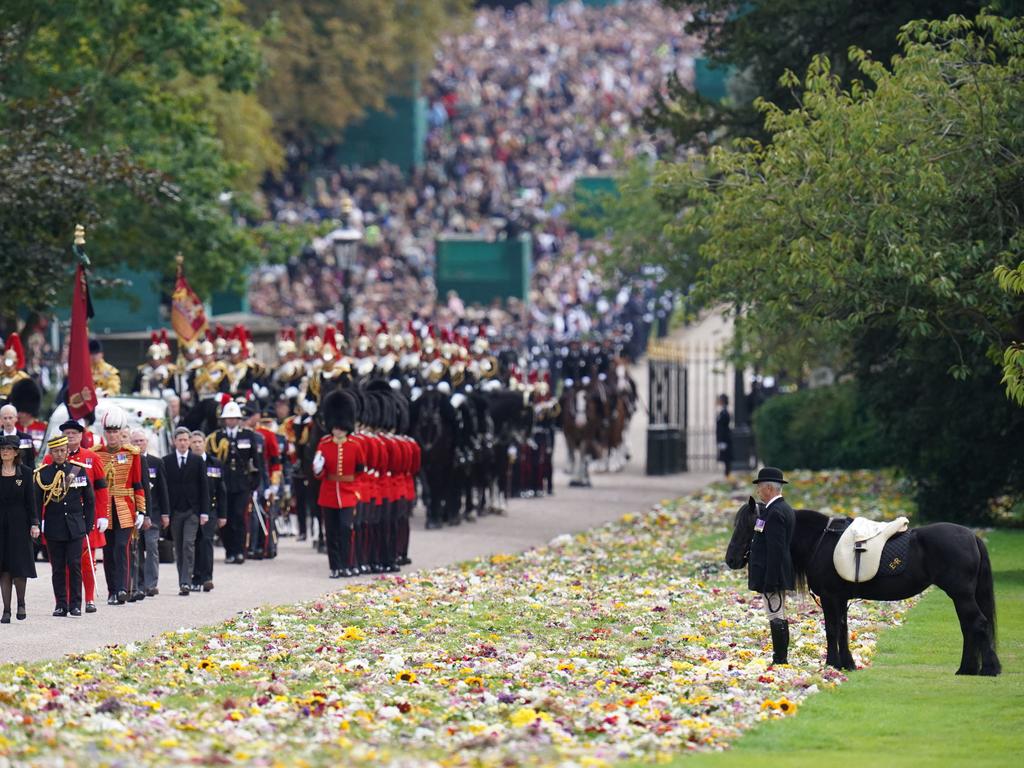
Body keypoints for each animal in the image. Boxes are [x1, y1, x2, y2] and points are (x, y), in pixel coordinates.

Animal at [729, 495, 999, 675]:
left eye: (748, 526)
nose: (730, 559)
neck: (820, 540)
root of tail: (972, 536)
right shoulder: (840, 598)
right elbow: (843, 628)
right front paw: (847, 664)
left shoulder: (830, 596)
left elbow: (832, 629)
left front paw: (831, 663)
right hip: (960, 596)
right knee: (968, 627)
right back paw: (967, 669)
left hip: (961, 594)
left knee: (978, 624)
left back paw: (989, 668)